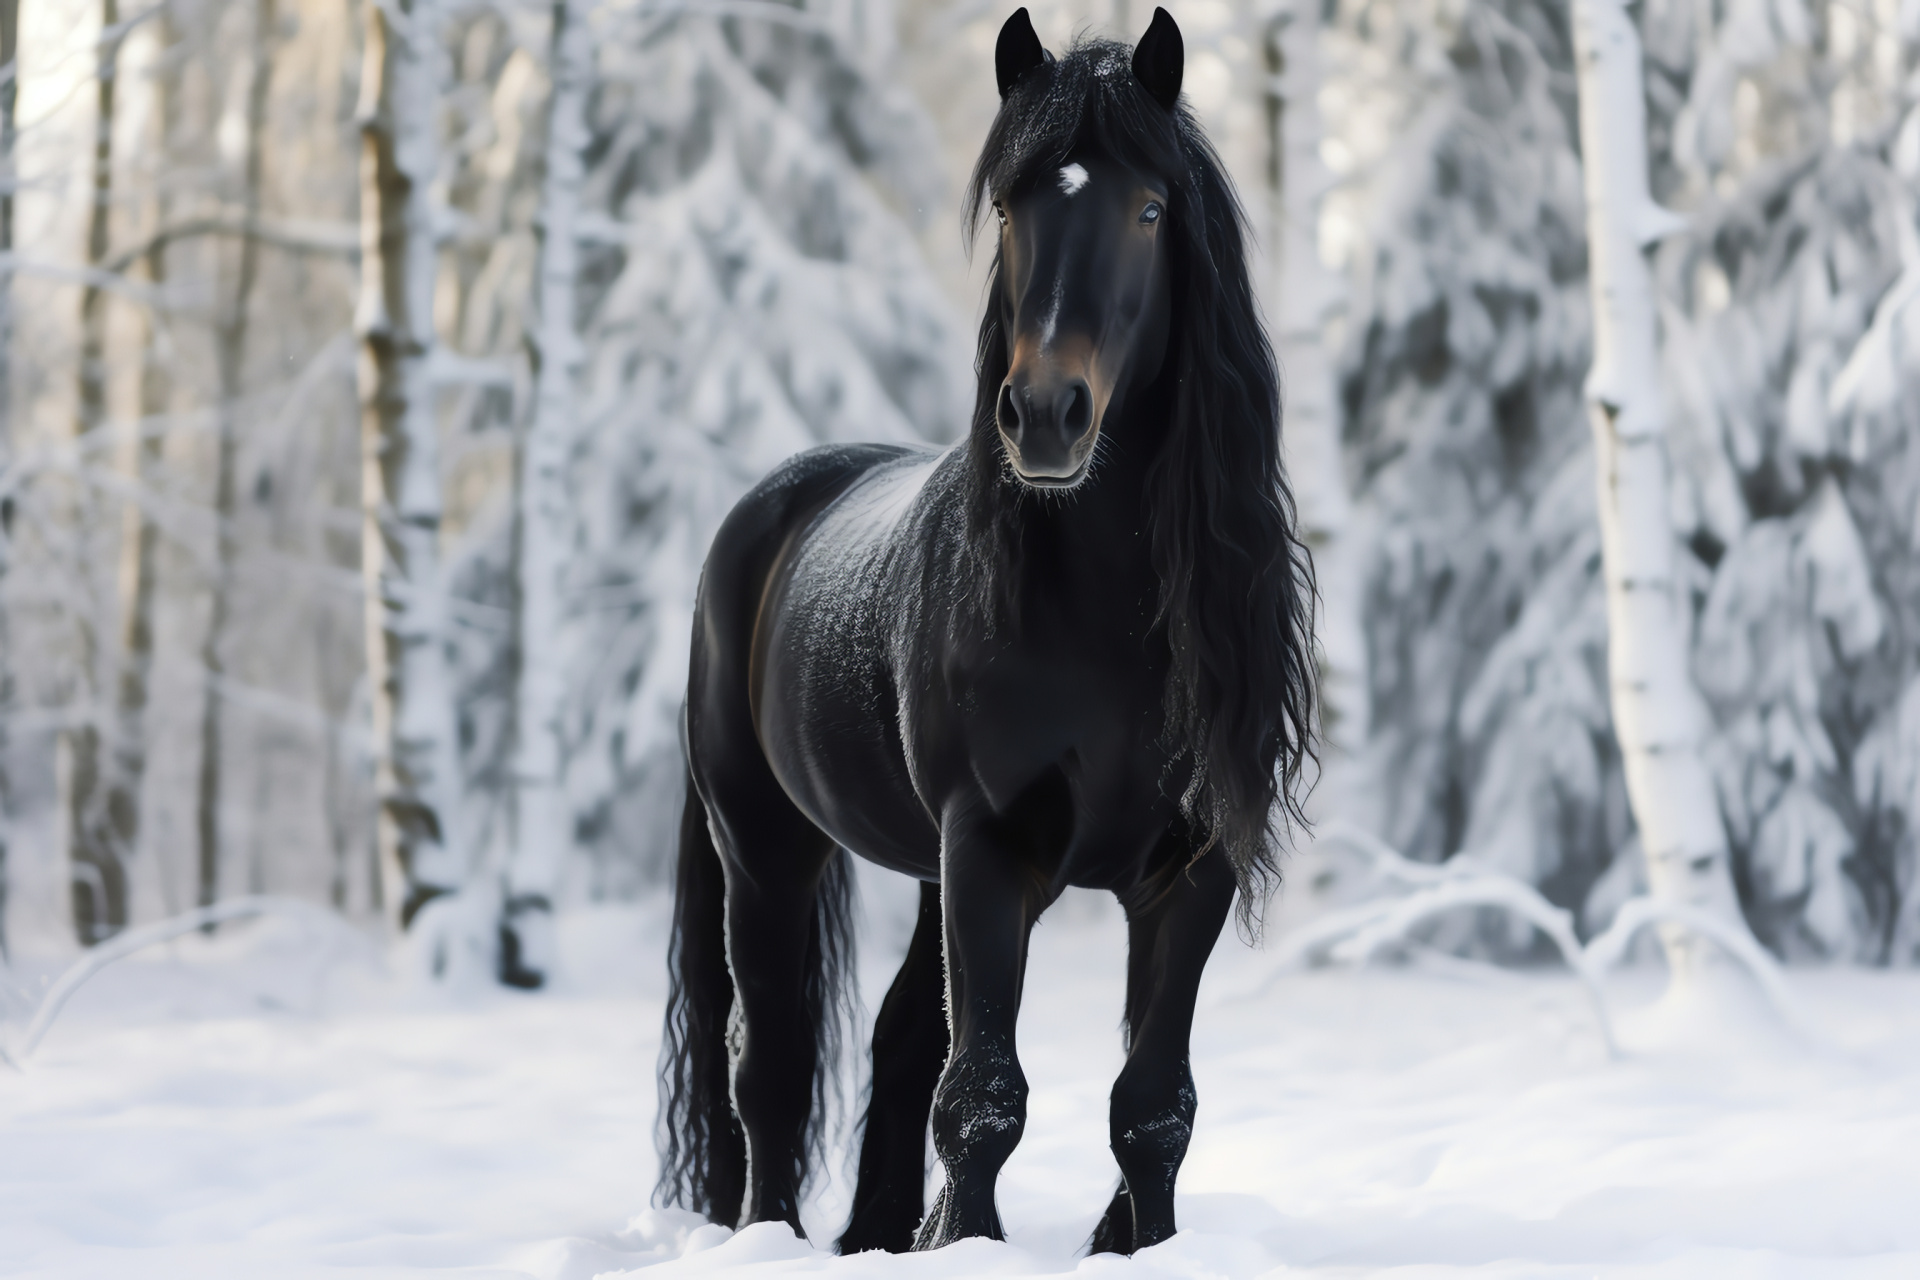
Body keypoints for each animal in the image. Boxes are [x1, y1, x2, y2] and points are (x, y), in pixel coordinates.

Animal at [656, 7, 1305, 1258]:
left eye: (1149, 210)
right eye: (1011, 208)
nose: (1045, 414)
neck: (1103, 618)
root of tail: (770, 507)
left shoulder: (1189, 867)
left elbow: (1152, 1102)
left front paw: (1133, 1242)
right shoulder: (990, 846)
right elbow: (983, 1093)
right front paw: (965, 1243)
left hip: (921, 872)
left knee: (898, 1040)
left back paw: (875, 1231)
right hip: (766, 848)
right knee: (769, 1064)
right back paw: (770, 1233)